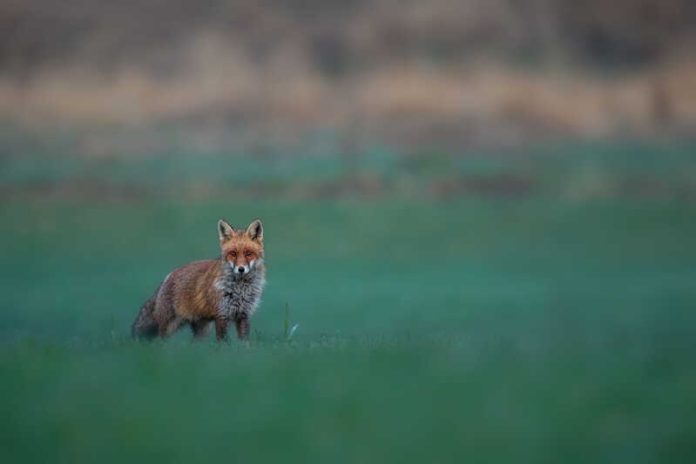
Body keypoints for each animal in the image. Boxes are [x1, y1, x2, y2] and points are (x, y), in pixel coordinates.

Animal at [131, 219, 266, 341]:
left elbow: (244, 342)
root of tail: (168, 276)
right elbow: (222, 343)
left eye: (248, 253)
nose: (241, 269)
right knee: (160, 341)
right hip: (170, 326)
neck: (240, 288)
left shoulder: (244, 315)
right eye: (233, 253)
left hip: (202, 329)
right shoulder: (221, 315)